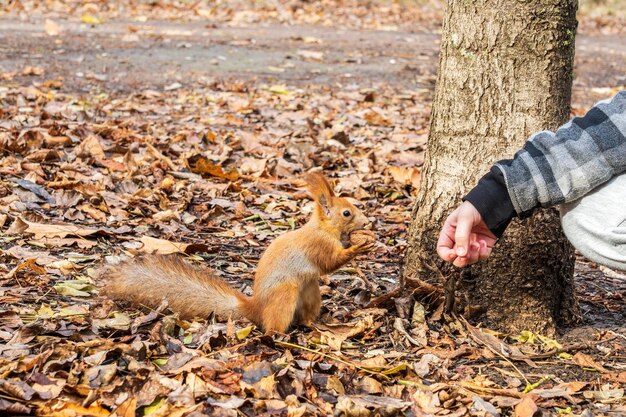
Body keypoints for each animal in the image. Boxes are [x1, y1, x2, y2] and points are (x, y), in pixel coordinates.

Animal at [103, 171, 376, 332]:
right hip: (285, 294)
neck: (324, 228)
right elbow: (330, 263)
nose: (368, 222)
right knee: (273, 325)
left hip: (310, 292)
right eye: (347, 213)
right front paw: (360, 245)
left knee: (304, 316)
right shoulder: (318, 244)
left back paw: (315, 325)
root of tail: (254, 308)